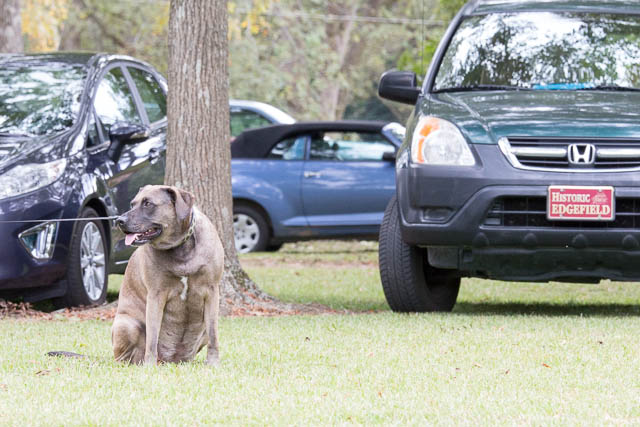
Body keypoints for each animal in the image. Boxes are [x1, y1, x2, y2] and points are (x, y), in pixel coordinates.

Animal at [112, 186, 225, 366]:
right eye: (132, 204)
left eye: (148, 203)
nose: (119, 220)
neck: (180, 247)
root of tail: (169, 360)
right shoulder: (156, 294)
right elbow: (152, 337)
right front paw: (149, 366)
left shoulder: (212, 291)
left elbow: (214, 334)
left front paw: (213, 363)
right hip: (126, 324)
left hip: (202, 332)